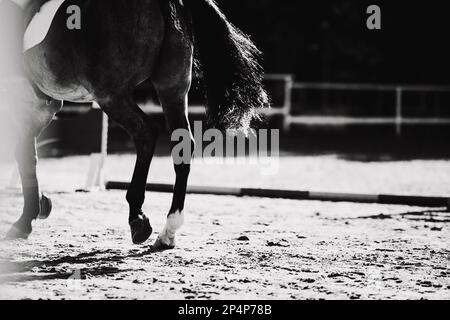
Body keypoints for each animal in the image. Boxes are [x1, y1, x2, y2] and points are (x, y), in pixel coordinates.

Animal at [0, 0, 268, 249]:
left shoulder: (26, 99)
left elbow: (24, 154)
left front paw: (27, 217)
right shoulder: (42, 104)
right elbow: (27, 153)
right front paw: (39, 206)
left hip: (111, 95)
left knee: (146, 133)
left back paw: (137, 219)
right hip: (172, 86)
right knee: (181, 145)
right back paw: (169, 229)